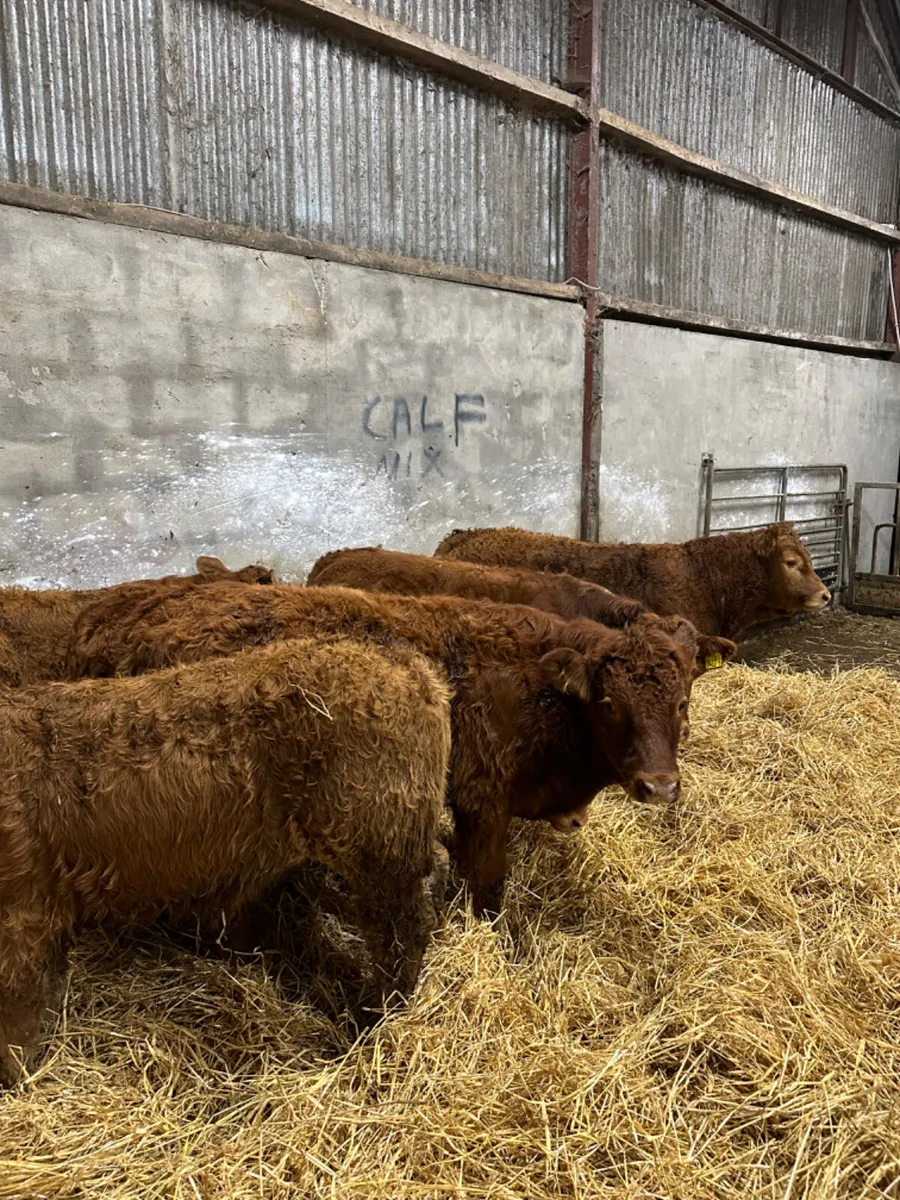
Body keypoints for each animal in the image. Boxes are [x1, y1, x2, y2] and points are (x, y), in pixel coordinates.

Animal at [0, 636, 450, 1086]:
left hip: (379, 848)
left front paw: (16, 1077)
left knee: (402, 931)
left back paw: (377, 1018)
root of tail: (405, 666)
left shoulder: (23, 913)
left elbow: (18, 1005)